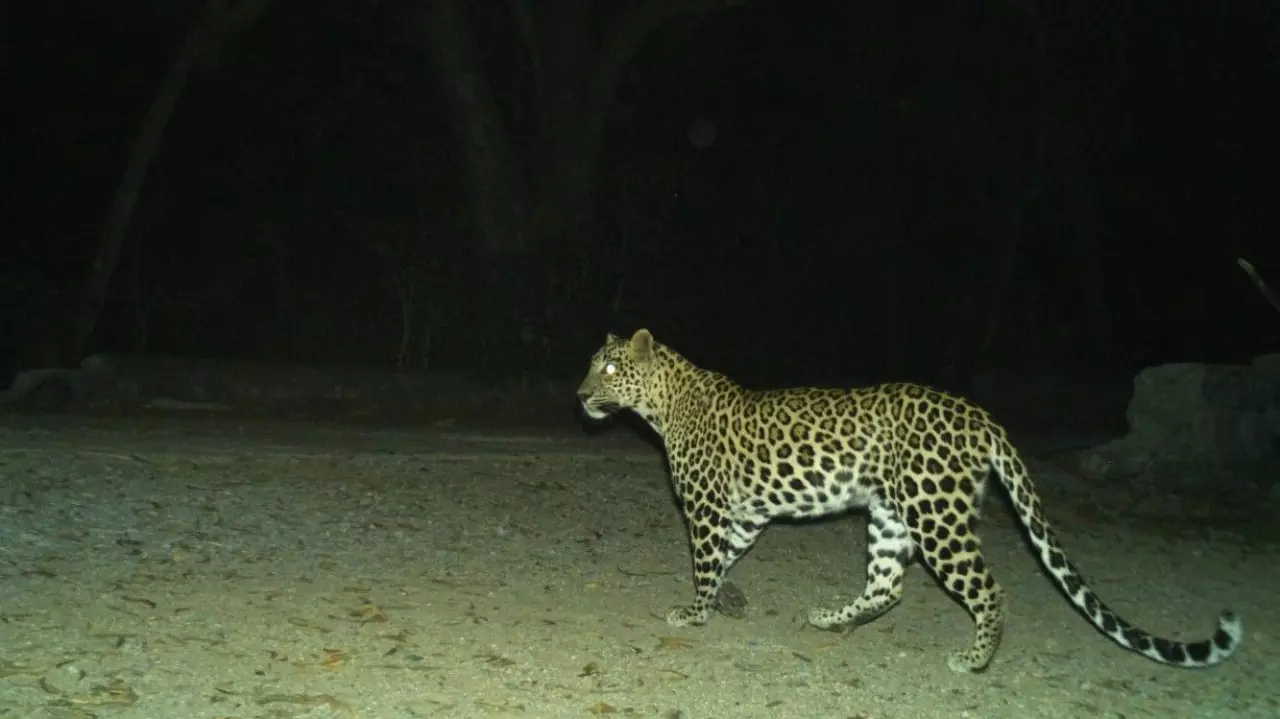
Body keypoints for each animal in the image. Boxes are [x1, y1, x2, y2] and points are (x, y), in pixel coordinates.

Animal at [576, 328, 1242, 673]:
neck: (662, 403)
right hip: (891, 516)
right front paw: (720, 603)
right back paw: (832, 619)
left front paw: (694, 613)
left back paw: (973, 659)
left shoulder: (708, 509)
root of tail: (980, 415)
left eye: (607, 368)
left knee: (989, 589)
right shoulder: (745, 516)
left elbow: (705, 562)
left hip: (935, 515)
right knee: (888, 585)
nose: (580, 395)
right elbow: (729, 558)